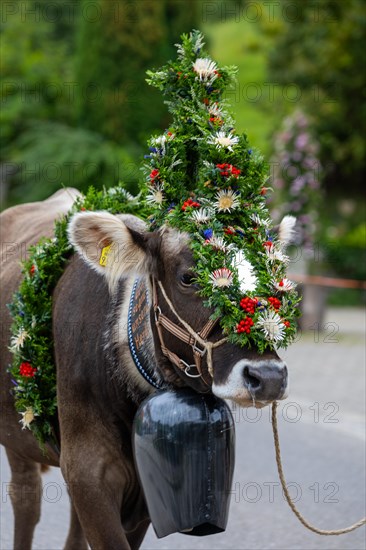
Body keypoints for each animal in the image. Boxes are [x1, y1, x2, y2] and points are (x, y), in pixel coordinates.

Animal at [0, 191, 288, 550]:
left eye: (276, 277)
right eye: (188, 277)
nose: (269, 378)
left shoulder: (142, 493)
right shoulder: (87, 471)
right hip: (19, 439)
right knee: (26, 500)